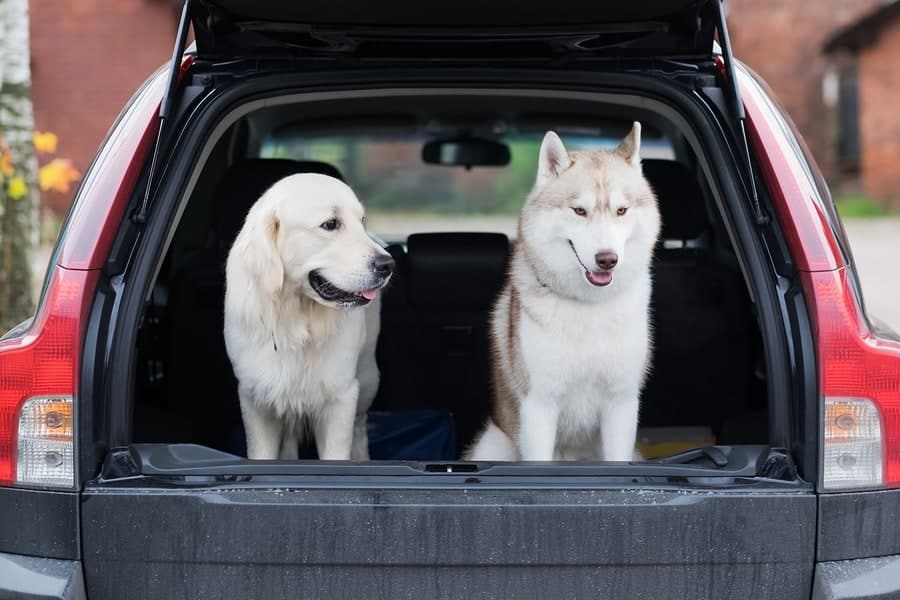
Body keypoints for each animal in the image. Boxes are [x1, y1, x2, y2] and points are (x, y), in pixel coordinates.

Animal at [223, 173, 392, 460]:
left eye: (362, 220)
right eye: (330, 224)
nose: (388, 265)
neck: (297, 318)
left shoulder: (341, 396)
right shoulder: (255, 397)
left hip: (367, 376)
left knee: (359, 427)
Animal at [472, 120, 660, 460]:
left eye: (622, 211)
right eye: (579, 211)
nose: (607, 259)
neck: (588, 306)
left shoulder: (621, 404)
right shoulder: (539, 407)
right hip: (492, 445)